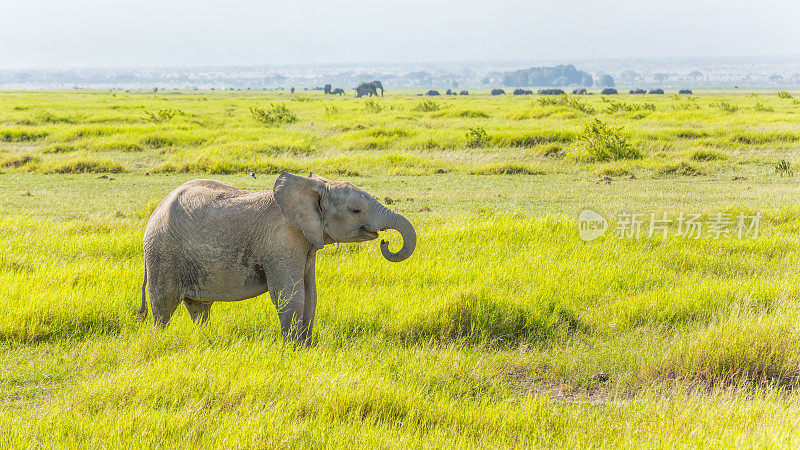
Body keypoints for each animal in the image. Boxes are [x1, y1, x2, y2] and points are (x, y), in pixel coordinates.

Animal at [138, 172, 416, 344]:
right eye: (355, 210)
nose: (385, 241)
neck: (312, 188)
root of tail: (156, 211)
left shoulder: (307, 243)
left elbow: (310, 294)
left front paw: (306, 347)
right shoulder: (281, 240)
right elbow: (291, 293)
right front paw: (292, 349)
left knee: (199, 308)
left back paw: (204, 339)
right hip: (162, 252)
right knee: (163, 306)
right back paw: (160, 340)